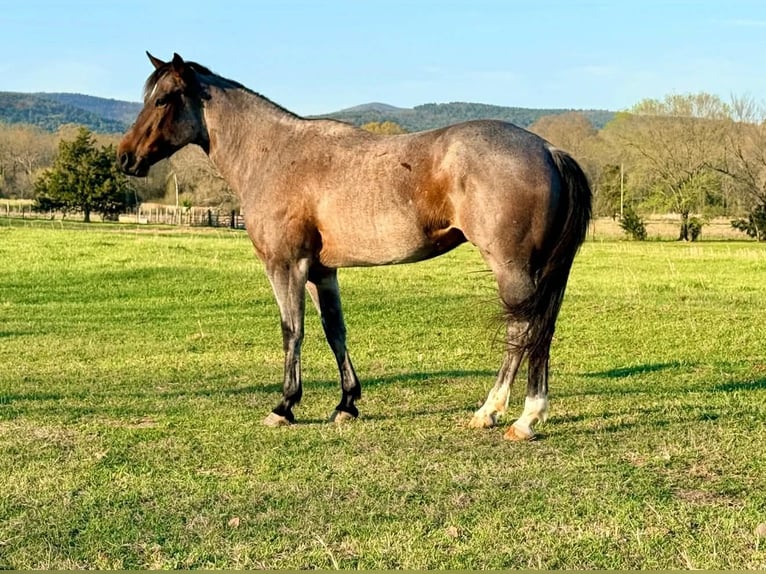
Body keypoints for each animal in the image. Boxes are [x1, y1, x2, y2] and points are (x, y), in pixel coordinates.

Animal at [118, 52, 591, 440]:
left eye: (163, 100)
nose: (125, 158)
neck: (274, 154)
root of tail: (548, 149)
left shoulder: (286, 265)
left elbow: (292, 330)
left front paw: (284, 406)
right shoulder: (320, 269)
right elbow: (334, 330)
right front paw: (346, 403)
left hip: (512, 270)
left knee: (522, 333)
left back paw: (510, 416)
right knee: (540, 331)